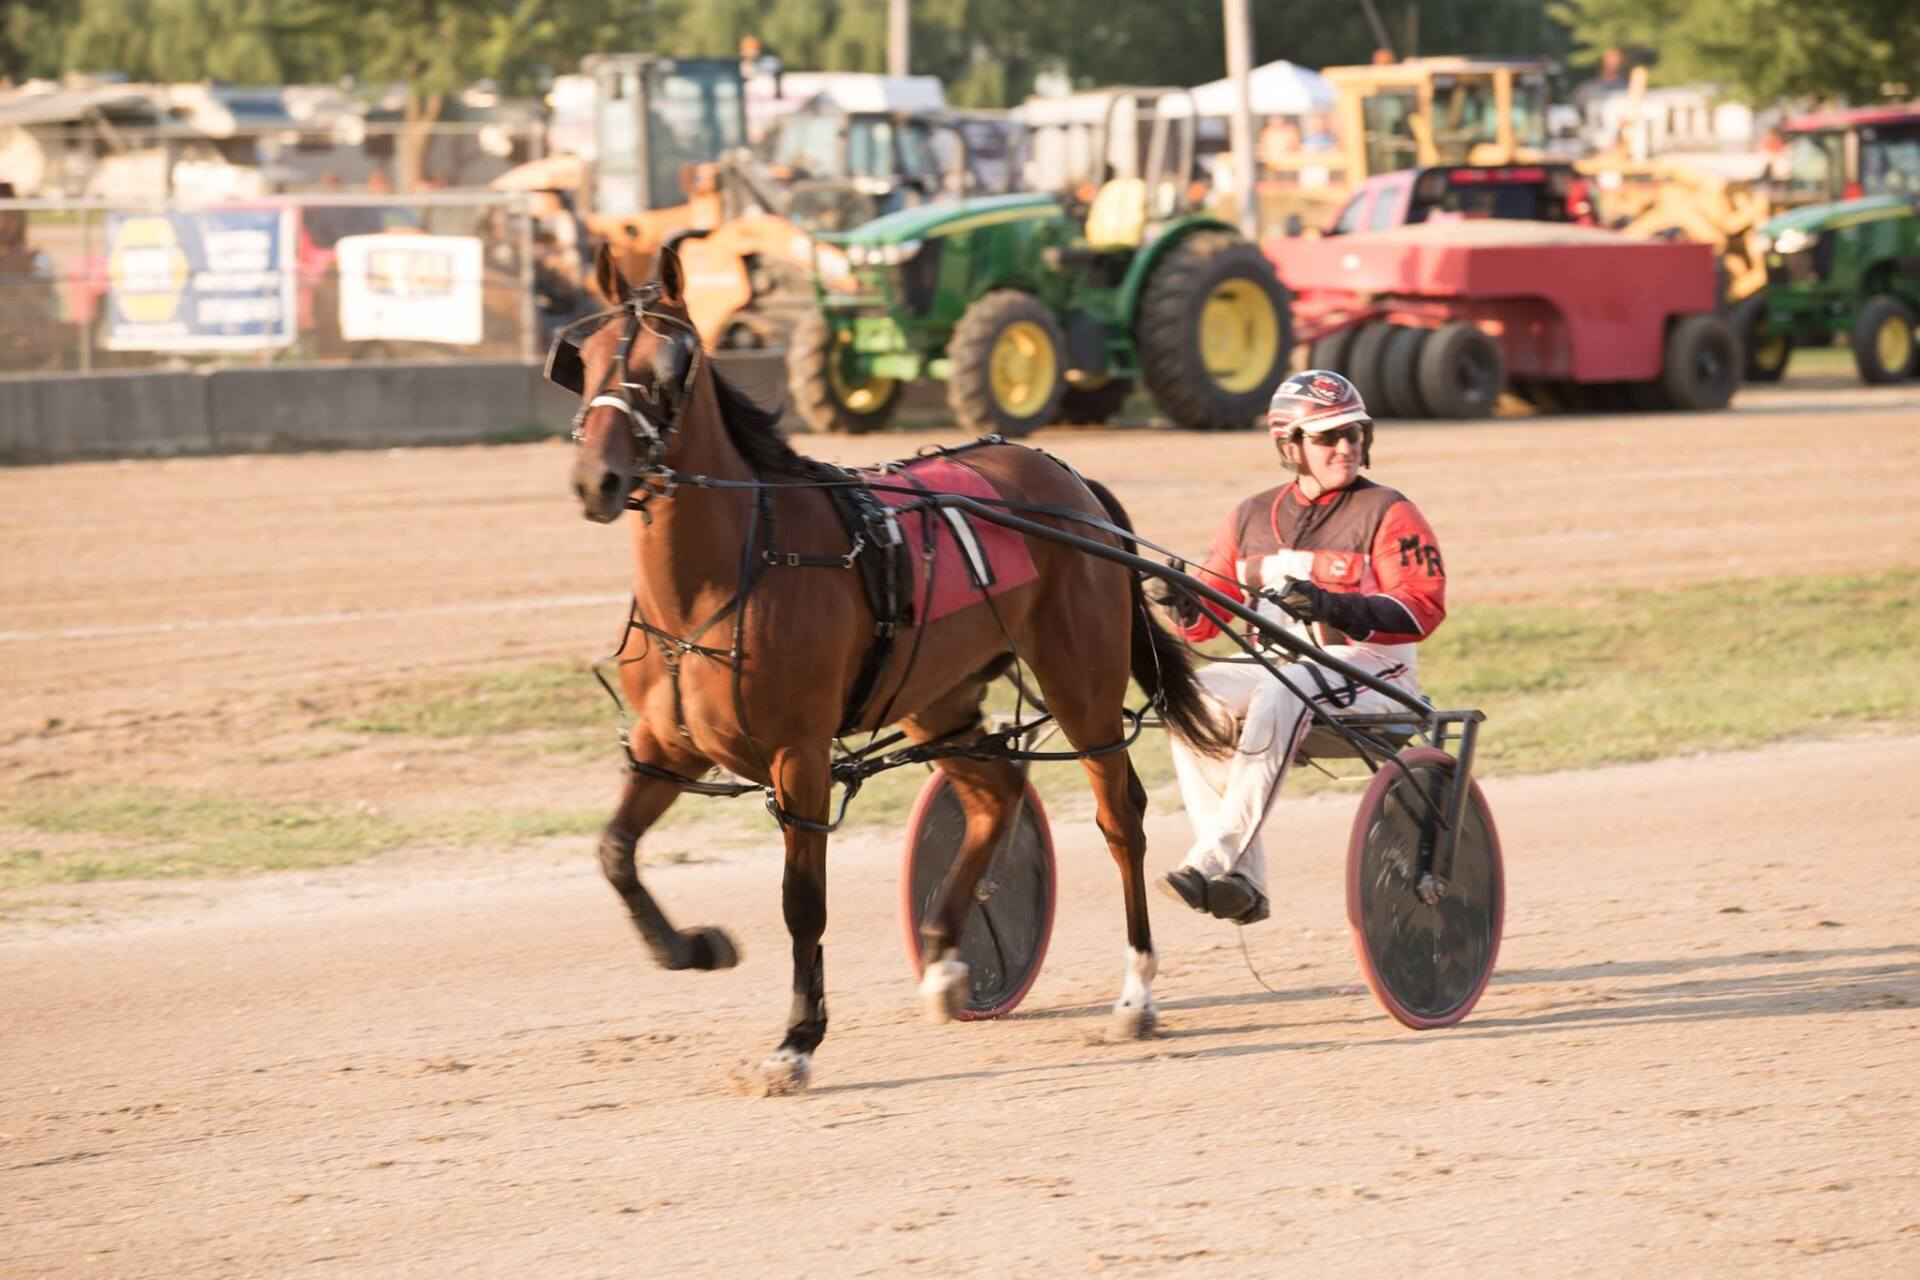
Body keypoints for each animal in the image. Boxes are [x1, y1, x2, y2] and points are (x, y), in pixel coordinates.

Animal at [565, 243, 1228, 1094]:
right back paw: (947, 958)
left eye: (668, 365)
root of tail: (1071, 483)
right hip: (936, 699)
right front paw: (696, 946)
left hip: (1080, 683)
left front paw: (796, 1042)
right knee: (997, 792)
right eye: (582, 360)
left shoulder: (799, 756)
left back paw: (1135, 995)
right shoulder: (664, 746)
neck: (726, 575)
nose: (598, 481)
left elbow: (802, 902)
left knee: (1121, 820)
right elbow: (615, 852)